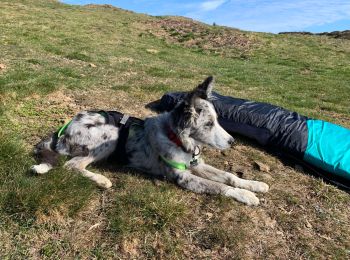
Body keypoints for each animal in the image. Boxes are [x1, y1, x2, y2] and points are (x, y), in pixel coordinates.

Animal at [31, 76, 270, 205]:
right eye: (208, 124)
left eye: (218, 121)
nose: (232, 142)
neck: (177, 138)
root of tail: (63, 130)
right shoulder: (183, 177)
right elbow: (220, 187)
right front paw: (246, 195)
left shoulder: (196, 165)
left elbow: (229, 177)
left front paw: (254, 184)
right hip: (111, 134)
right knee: (71, 165)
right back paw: (101, 180)